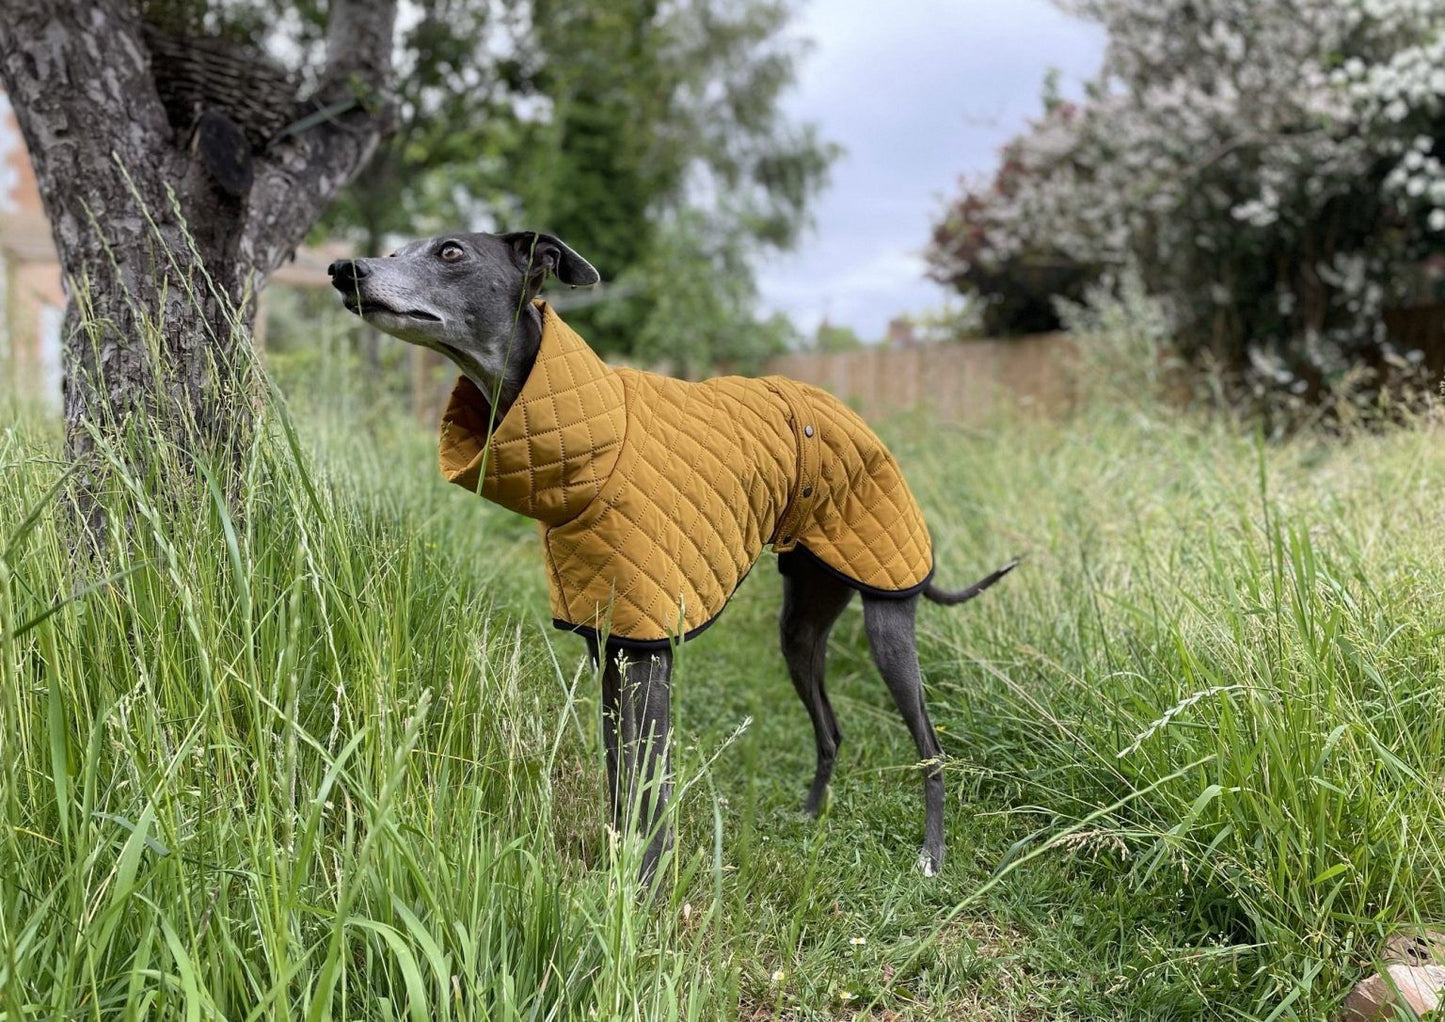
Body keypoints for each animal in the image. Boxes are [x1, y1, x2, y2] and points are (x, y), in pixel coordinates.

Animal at [330, 229, 1017, 878]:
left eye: (451, 252)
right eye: (397, 249)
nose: (344, 269)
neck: (595, 438)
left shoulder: (648, 654)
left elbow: (648, 786)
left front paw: (644, 890)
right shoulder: (610, 645)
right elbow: (620, 782)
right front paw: (617, 871)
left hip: (887, 614)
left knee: (931, 745)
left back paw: (931, 855)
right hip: (802, 621)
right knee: (831, 727)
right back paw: (812, 815)